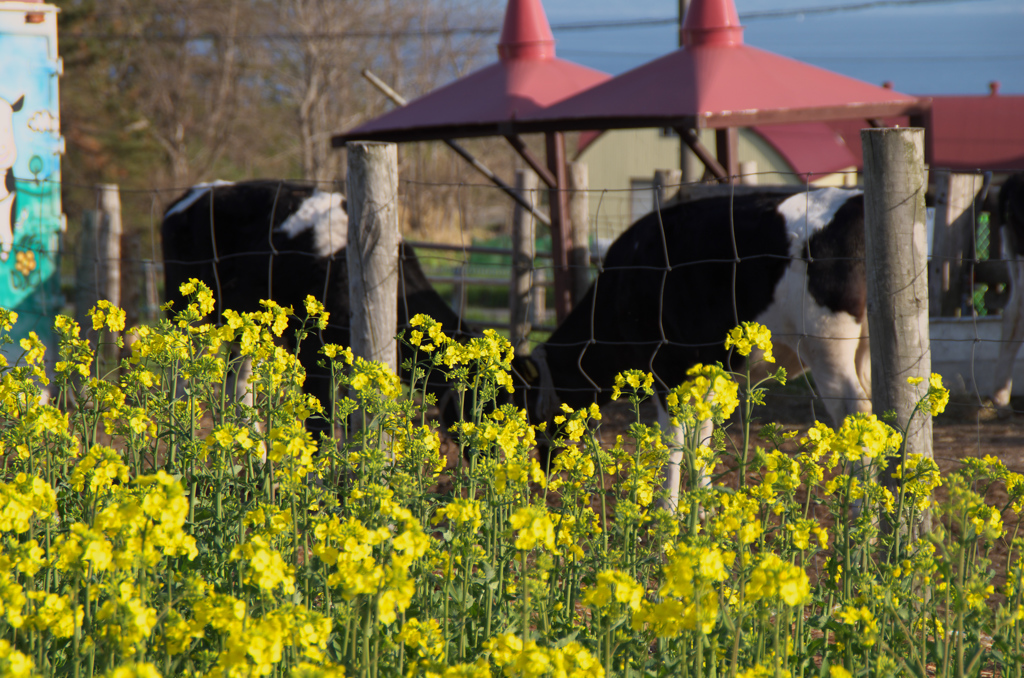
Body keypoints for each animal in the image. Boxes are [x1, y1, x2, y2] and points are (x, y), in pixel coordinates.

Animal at [161, 179, 473, 436]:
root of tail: (193, 192)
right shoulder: (315, 347)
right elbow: (320, 419)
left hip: (241, 329)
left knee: (238, 386)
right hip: (185, 313)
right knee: (181, 378)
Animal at [516, 188, 868, 501]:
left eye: (528, 409)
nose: (544, 467)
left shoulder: (666, 366)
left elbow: (673, 441)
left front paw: (668, 511)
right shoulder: (710, 371)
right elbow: (703, 435)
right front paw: (703, 507)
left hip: (827, 346)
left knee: (855, 410)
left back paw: (859, 510)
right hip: (862, 352)